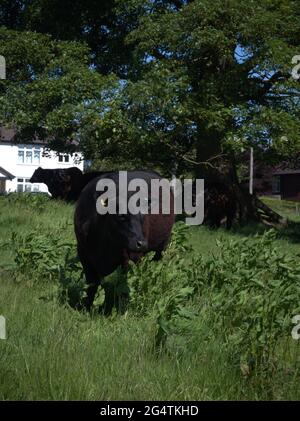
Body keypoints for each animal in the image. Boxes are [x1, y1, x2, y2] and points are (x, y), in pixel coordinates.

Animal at [74, 169, 175, 310]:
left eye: (143, 216)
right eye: (121, 215)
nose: (142, 243)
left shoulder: (129, 258)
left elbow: (122, 285)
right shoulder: (83, 253)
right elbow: (92, 284)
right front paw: (86, 306)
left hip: (161, 248)